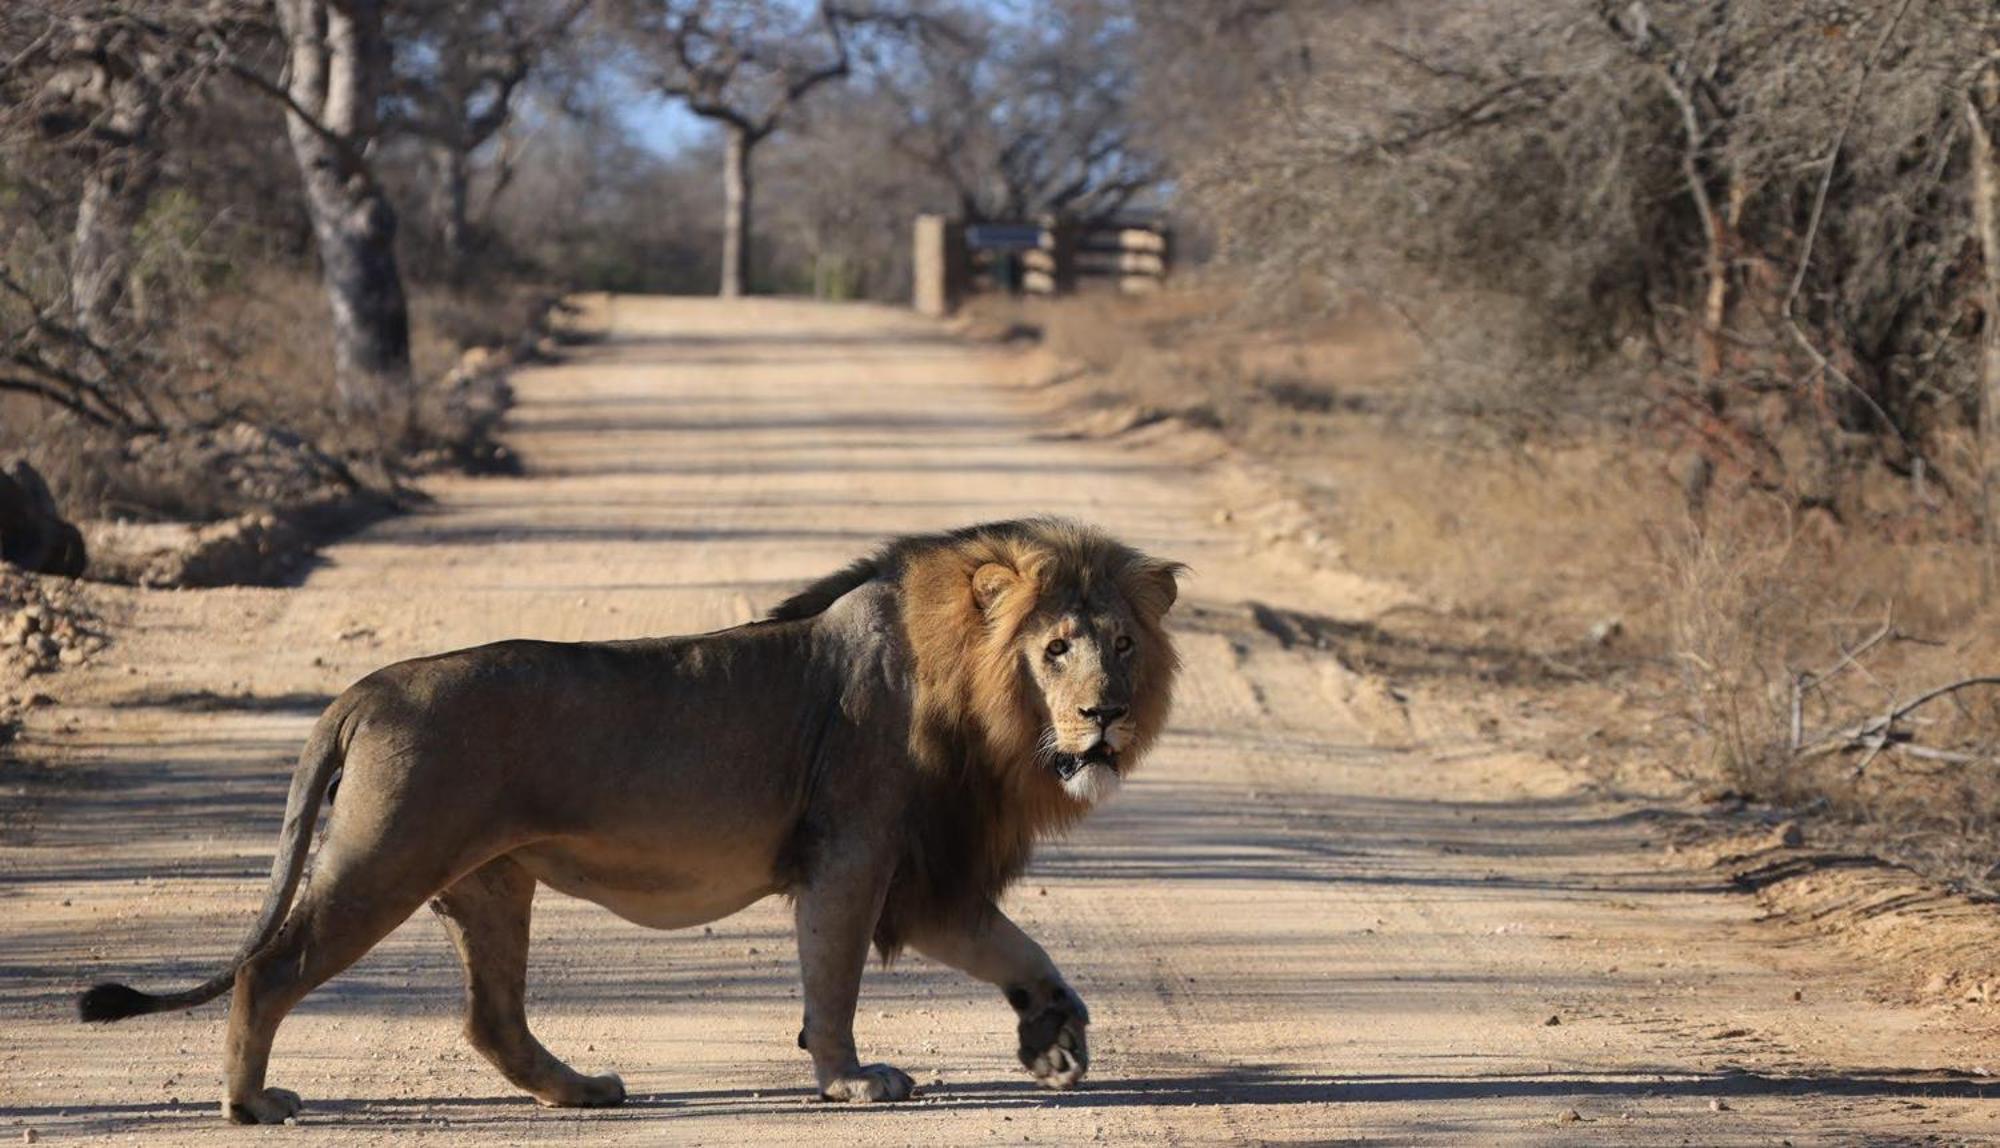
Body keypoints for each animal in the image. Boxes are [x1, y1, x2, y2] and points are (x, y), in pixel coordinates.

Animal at [78, 524, 1176, 1136]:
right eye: (1056, 648)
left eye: (1123, 643)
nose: (1105, 715)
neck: (984, 710)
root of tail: (365, 688)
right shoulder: (854, 852)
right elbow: (832, 978)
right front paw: (850, 1080)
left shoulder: (920, 873)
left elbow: (1015, 945)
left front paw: (1053, 1036)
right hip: (384, 856)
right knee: (270, 969)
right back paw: (251, 1104)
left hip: (490, 880)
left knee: (492, 1018)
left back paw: (581, 1090)